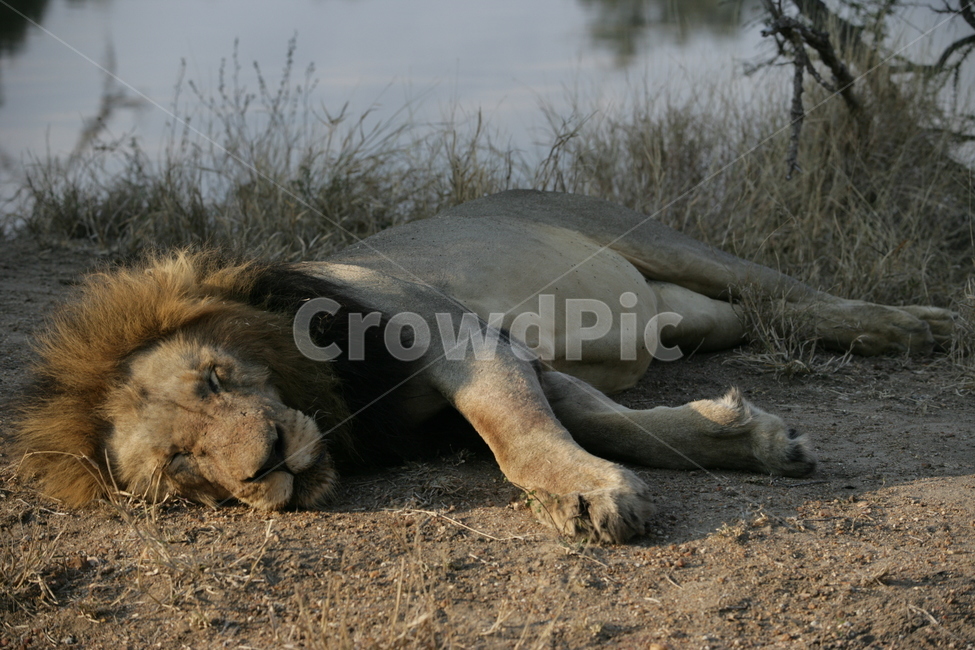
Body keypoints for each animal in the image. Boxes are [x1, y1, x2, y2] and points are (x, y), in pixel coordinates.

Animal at [14, 190, 954, 543]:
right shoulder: (516, 361)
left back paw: (911, 328)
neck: (334, 404)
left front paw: (586, 494)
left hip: (664, 242)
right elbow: (608, 422)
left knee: (787, 292)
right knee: (753, 315)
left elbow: (520, 432)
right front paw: (752, 441)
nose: (267, 465)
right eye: (179, 466)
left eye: (216, 376)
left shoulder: (459, 338)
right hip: (691, 318)